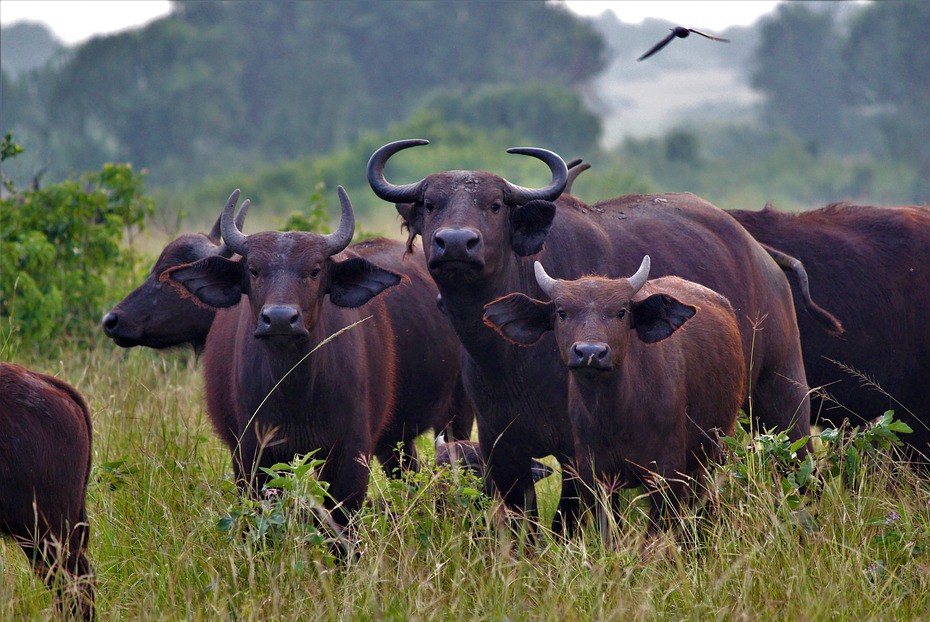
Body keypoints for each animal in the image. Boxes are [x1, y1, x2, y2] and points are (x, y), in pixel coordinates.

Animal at [164, 186, 402, 528]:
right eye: (253, 270)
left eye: (315, 270)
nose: (278, 319)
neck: (296, 390)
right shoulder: (253, 452)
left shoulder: (351, 452)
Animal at [482, 260, 744, 540]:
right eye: (562, 312)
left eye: (621, 312)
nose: (590, 352)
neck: (616, 415)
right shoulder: (595, 476)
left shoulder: (668, 473)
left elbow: (655, 534)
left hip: (716, 449)